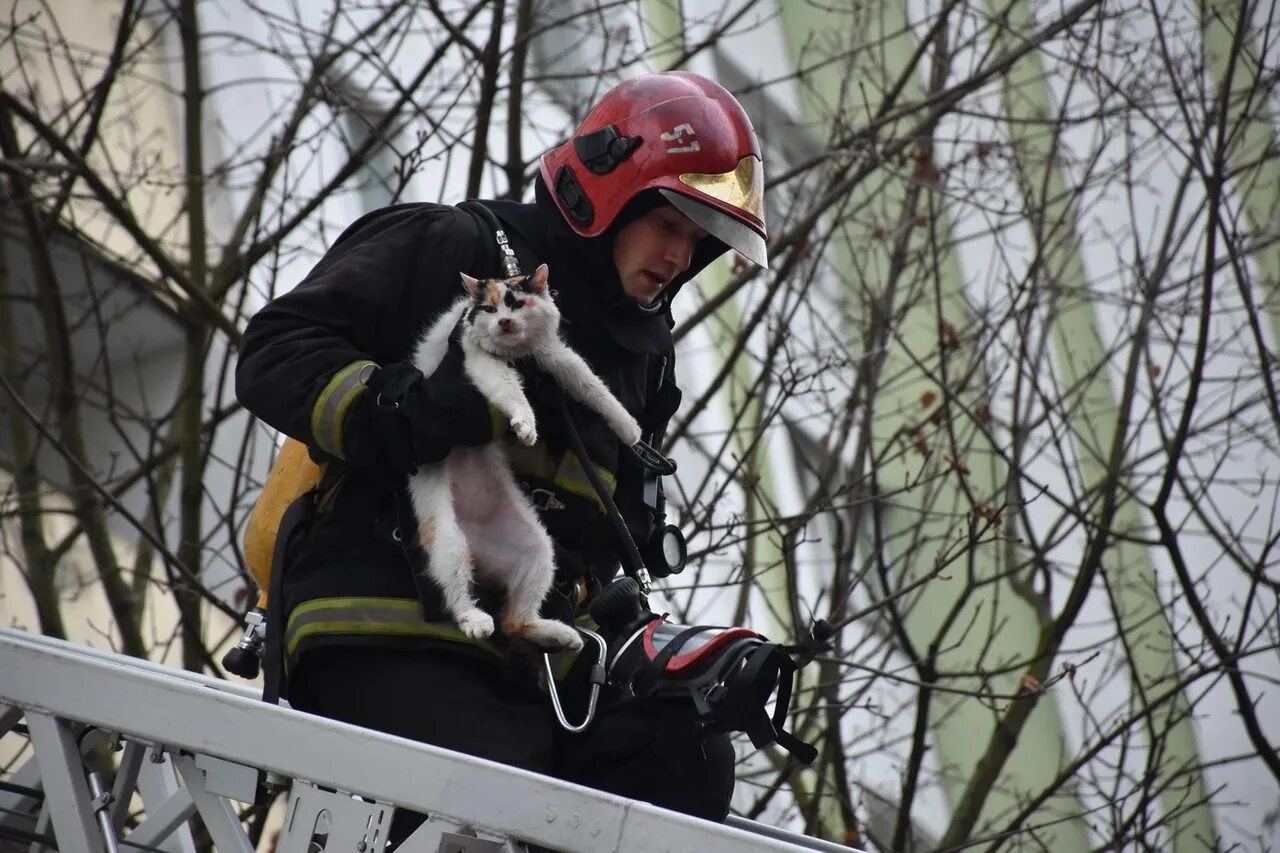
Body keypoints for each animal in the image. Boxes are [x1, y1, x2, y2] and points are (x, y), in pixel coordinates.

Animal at [407, 262, 645, 648]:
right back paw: (475, 620)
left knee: (514, 622)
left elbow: (591, 385)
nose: (504, 322)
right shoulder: (480, 363)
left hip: (538, 550)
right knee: (459, 589)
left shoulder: (553, 355)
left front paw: (628, 428)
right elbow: (510, 391)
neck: (516, 353)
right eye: (490, 310)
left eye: (517, 304)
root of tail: (478, 546)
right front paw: (525, 424)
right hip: (447, 539)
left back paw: (560, 634)